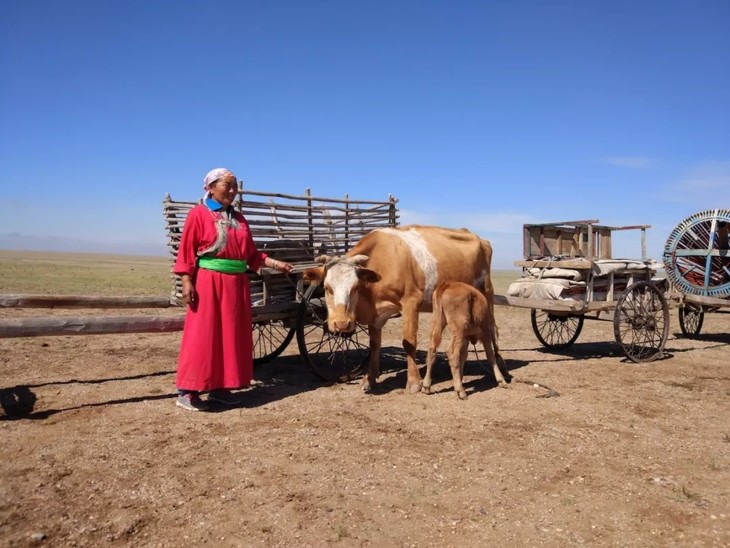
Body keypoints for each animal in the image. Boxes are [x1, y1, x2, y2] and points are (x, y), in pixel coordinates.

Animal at [302, 224, 500, 394]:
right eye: (327, 288)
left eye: (355, 287)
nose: (342, 324)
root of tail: (479, 238)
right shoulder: (377, 313)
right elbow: (375, 345)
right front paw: (369, 379)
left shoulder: (410, 303)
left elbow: (408, 342)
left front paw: (413, 382)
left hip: (487, 293)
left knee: (492, 332)